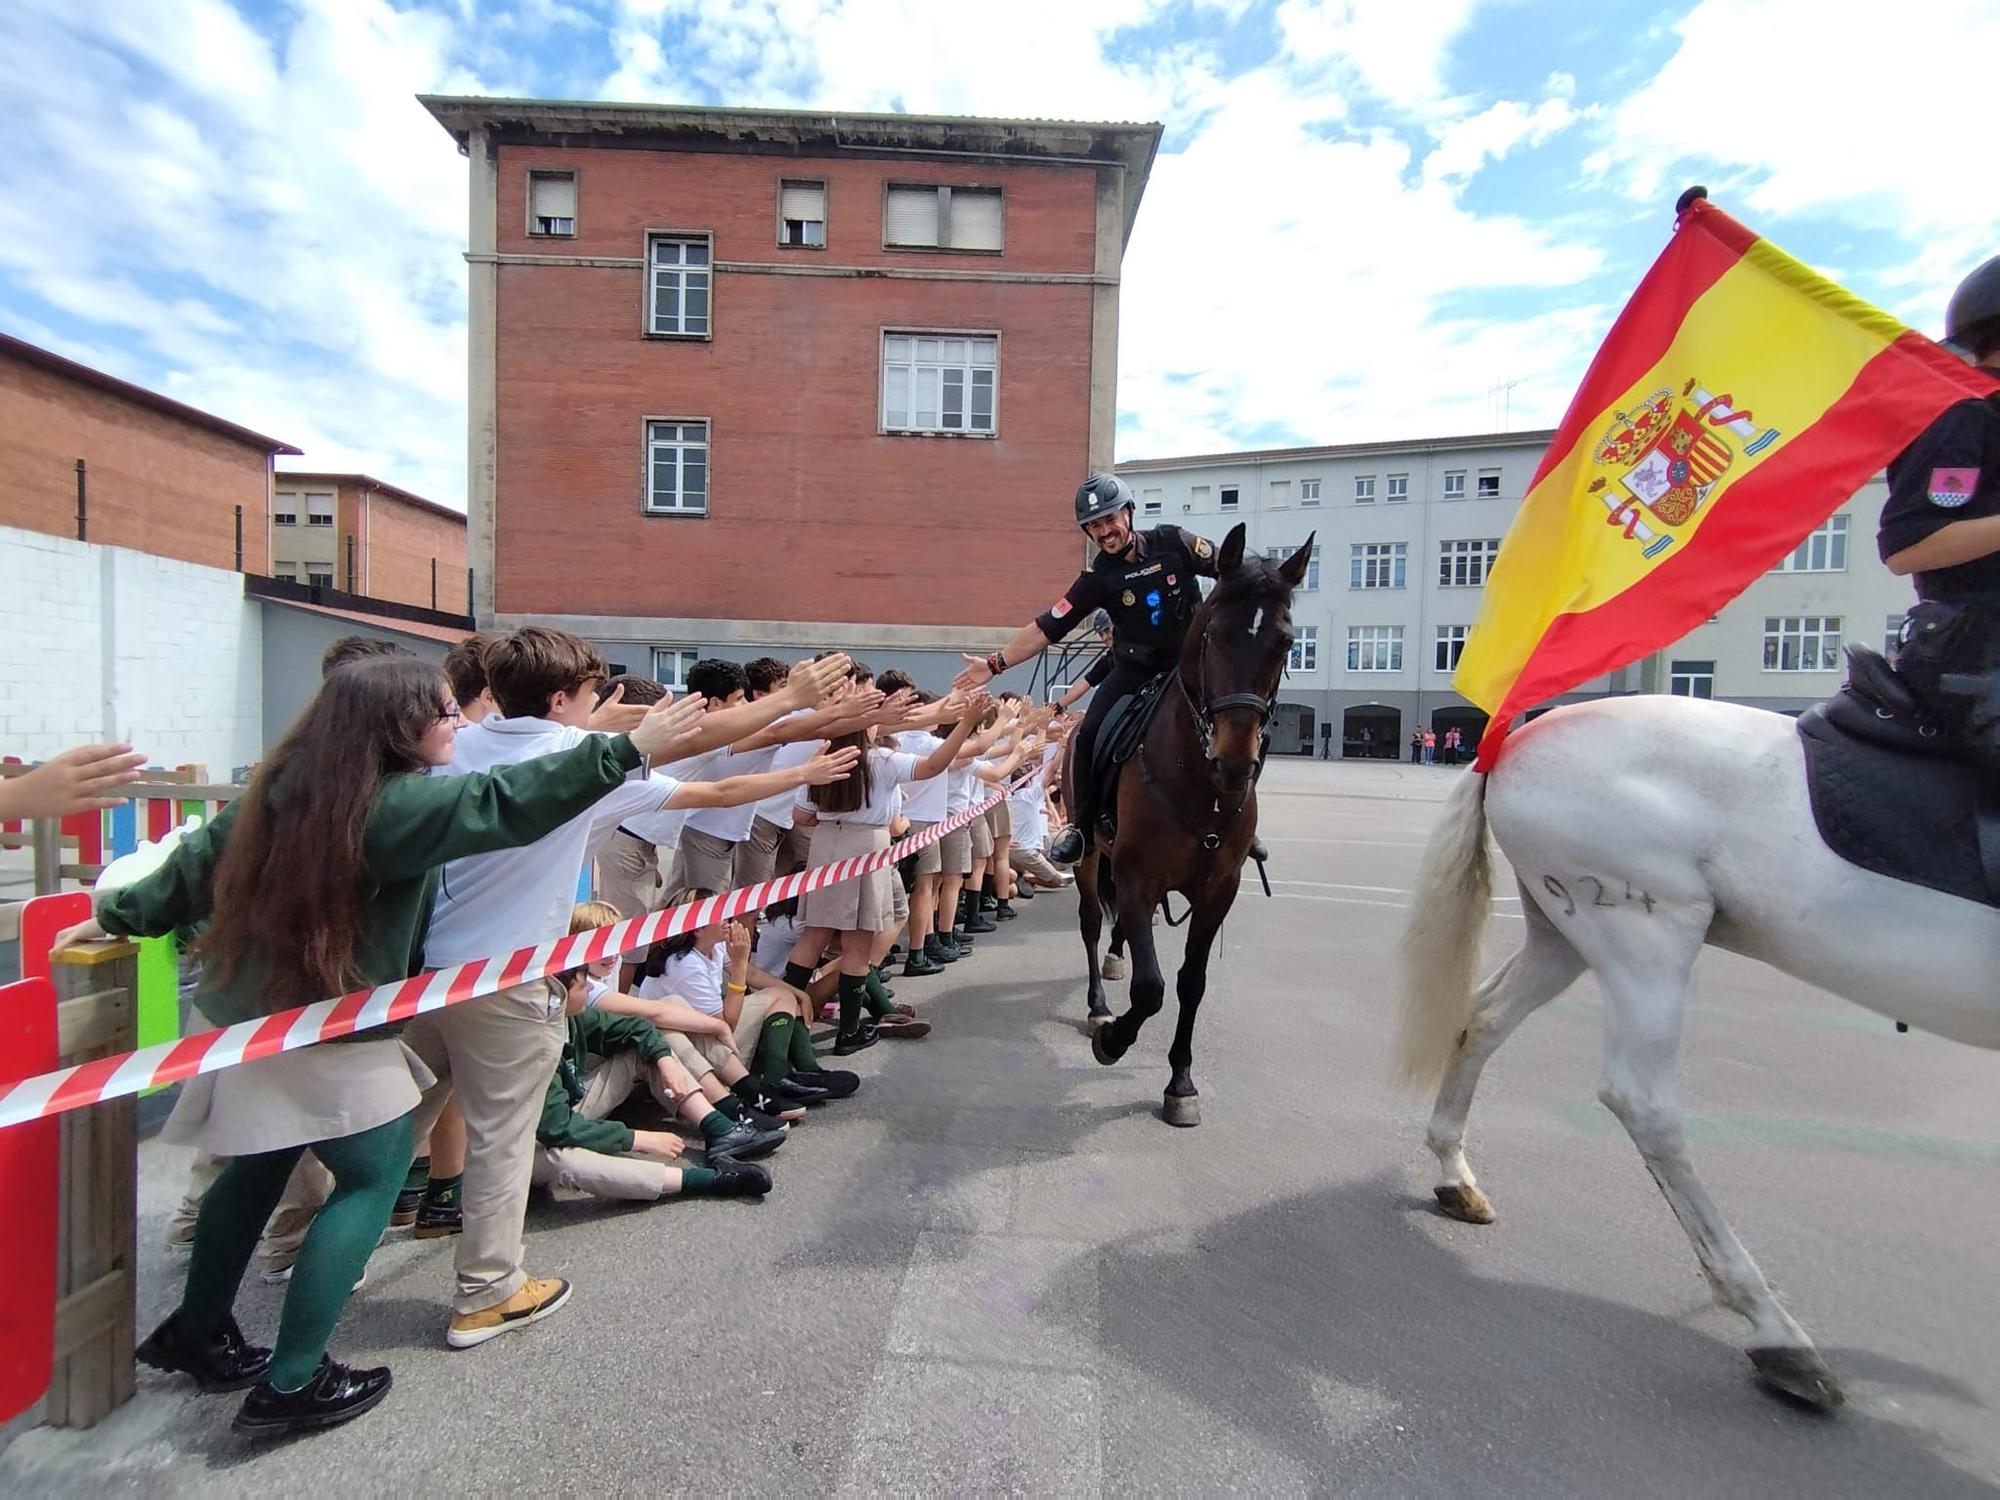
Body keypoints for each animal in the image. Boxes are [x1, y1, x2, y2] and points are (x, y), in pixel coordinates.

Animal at [1080, 524, 1312, 1120]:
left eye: (1286, 643)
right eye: (1214, 636)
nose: (1234, 760)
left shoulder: (1215, 892)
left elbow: (1192, 982)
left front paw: (1180, 1081)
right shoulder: (1137, 879)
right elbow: (1151, 988)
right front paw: (1114, 1039)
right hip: (1090, 855)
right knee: (1091, 922)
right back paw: (1097, 1006)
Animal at [1392, 700, 2000, 1416]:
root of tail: (1513, 742)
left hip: (1560, 929)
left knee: (1483, 1021)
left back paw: (1456, 1176)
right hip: (1642, 927)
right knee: (1642, 1101)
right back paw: (1774, 1328)